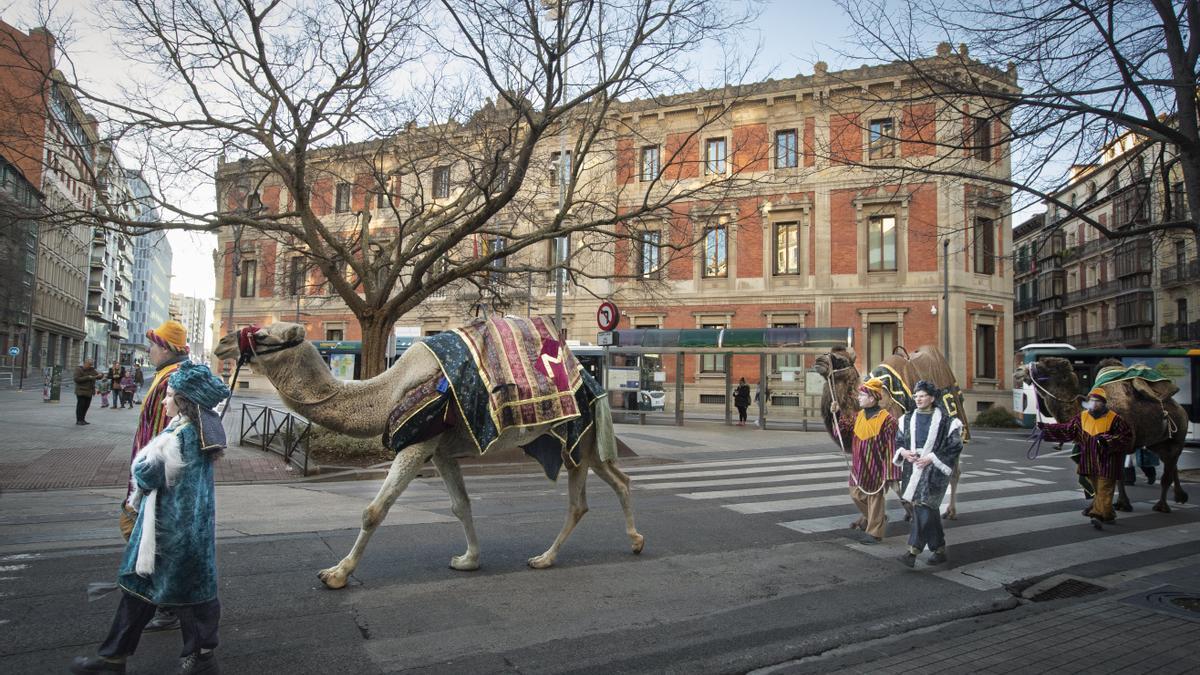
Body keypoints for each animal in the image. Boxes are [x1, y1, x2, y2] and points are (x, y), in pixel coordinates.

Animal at [216, 317, 648, 586]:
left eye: (264, 336)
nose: (222, 342)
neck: (387, 393)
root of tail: (590, 380)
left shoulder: (418, 443)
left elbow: (374, 510)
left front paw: (336, 574)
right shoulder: (440, 450)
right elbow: (460, 505)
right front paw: (469, 560)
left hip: (578, 436)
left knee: (585, 497)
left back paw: (548, 557)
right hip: (582, 445)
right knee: (613, 482)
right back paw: (626, 543)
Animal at [806, 343, 964, 516]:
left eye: (840, 359)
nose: (819, 361)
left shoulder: (892, 444)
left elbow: (892, 482)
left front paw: (908, 510)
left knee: (953, 471)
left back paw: (950, 511)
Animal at [1012, 355, 1190, 511]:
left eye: (1048, 364)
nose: (1018, 370)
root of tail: (1179, 408)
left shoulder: (1117, 446)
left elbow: (1115, 477)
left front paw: (1119, 504)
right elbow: (1101, 477)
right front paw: (1105, 505)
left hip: (1178, 438)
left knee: (1168, 471)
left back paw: (1162, 506)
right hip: (1158, 442)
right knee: (1171, 465)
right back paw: (1180, 497)